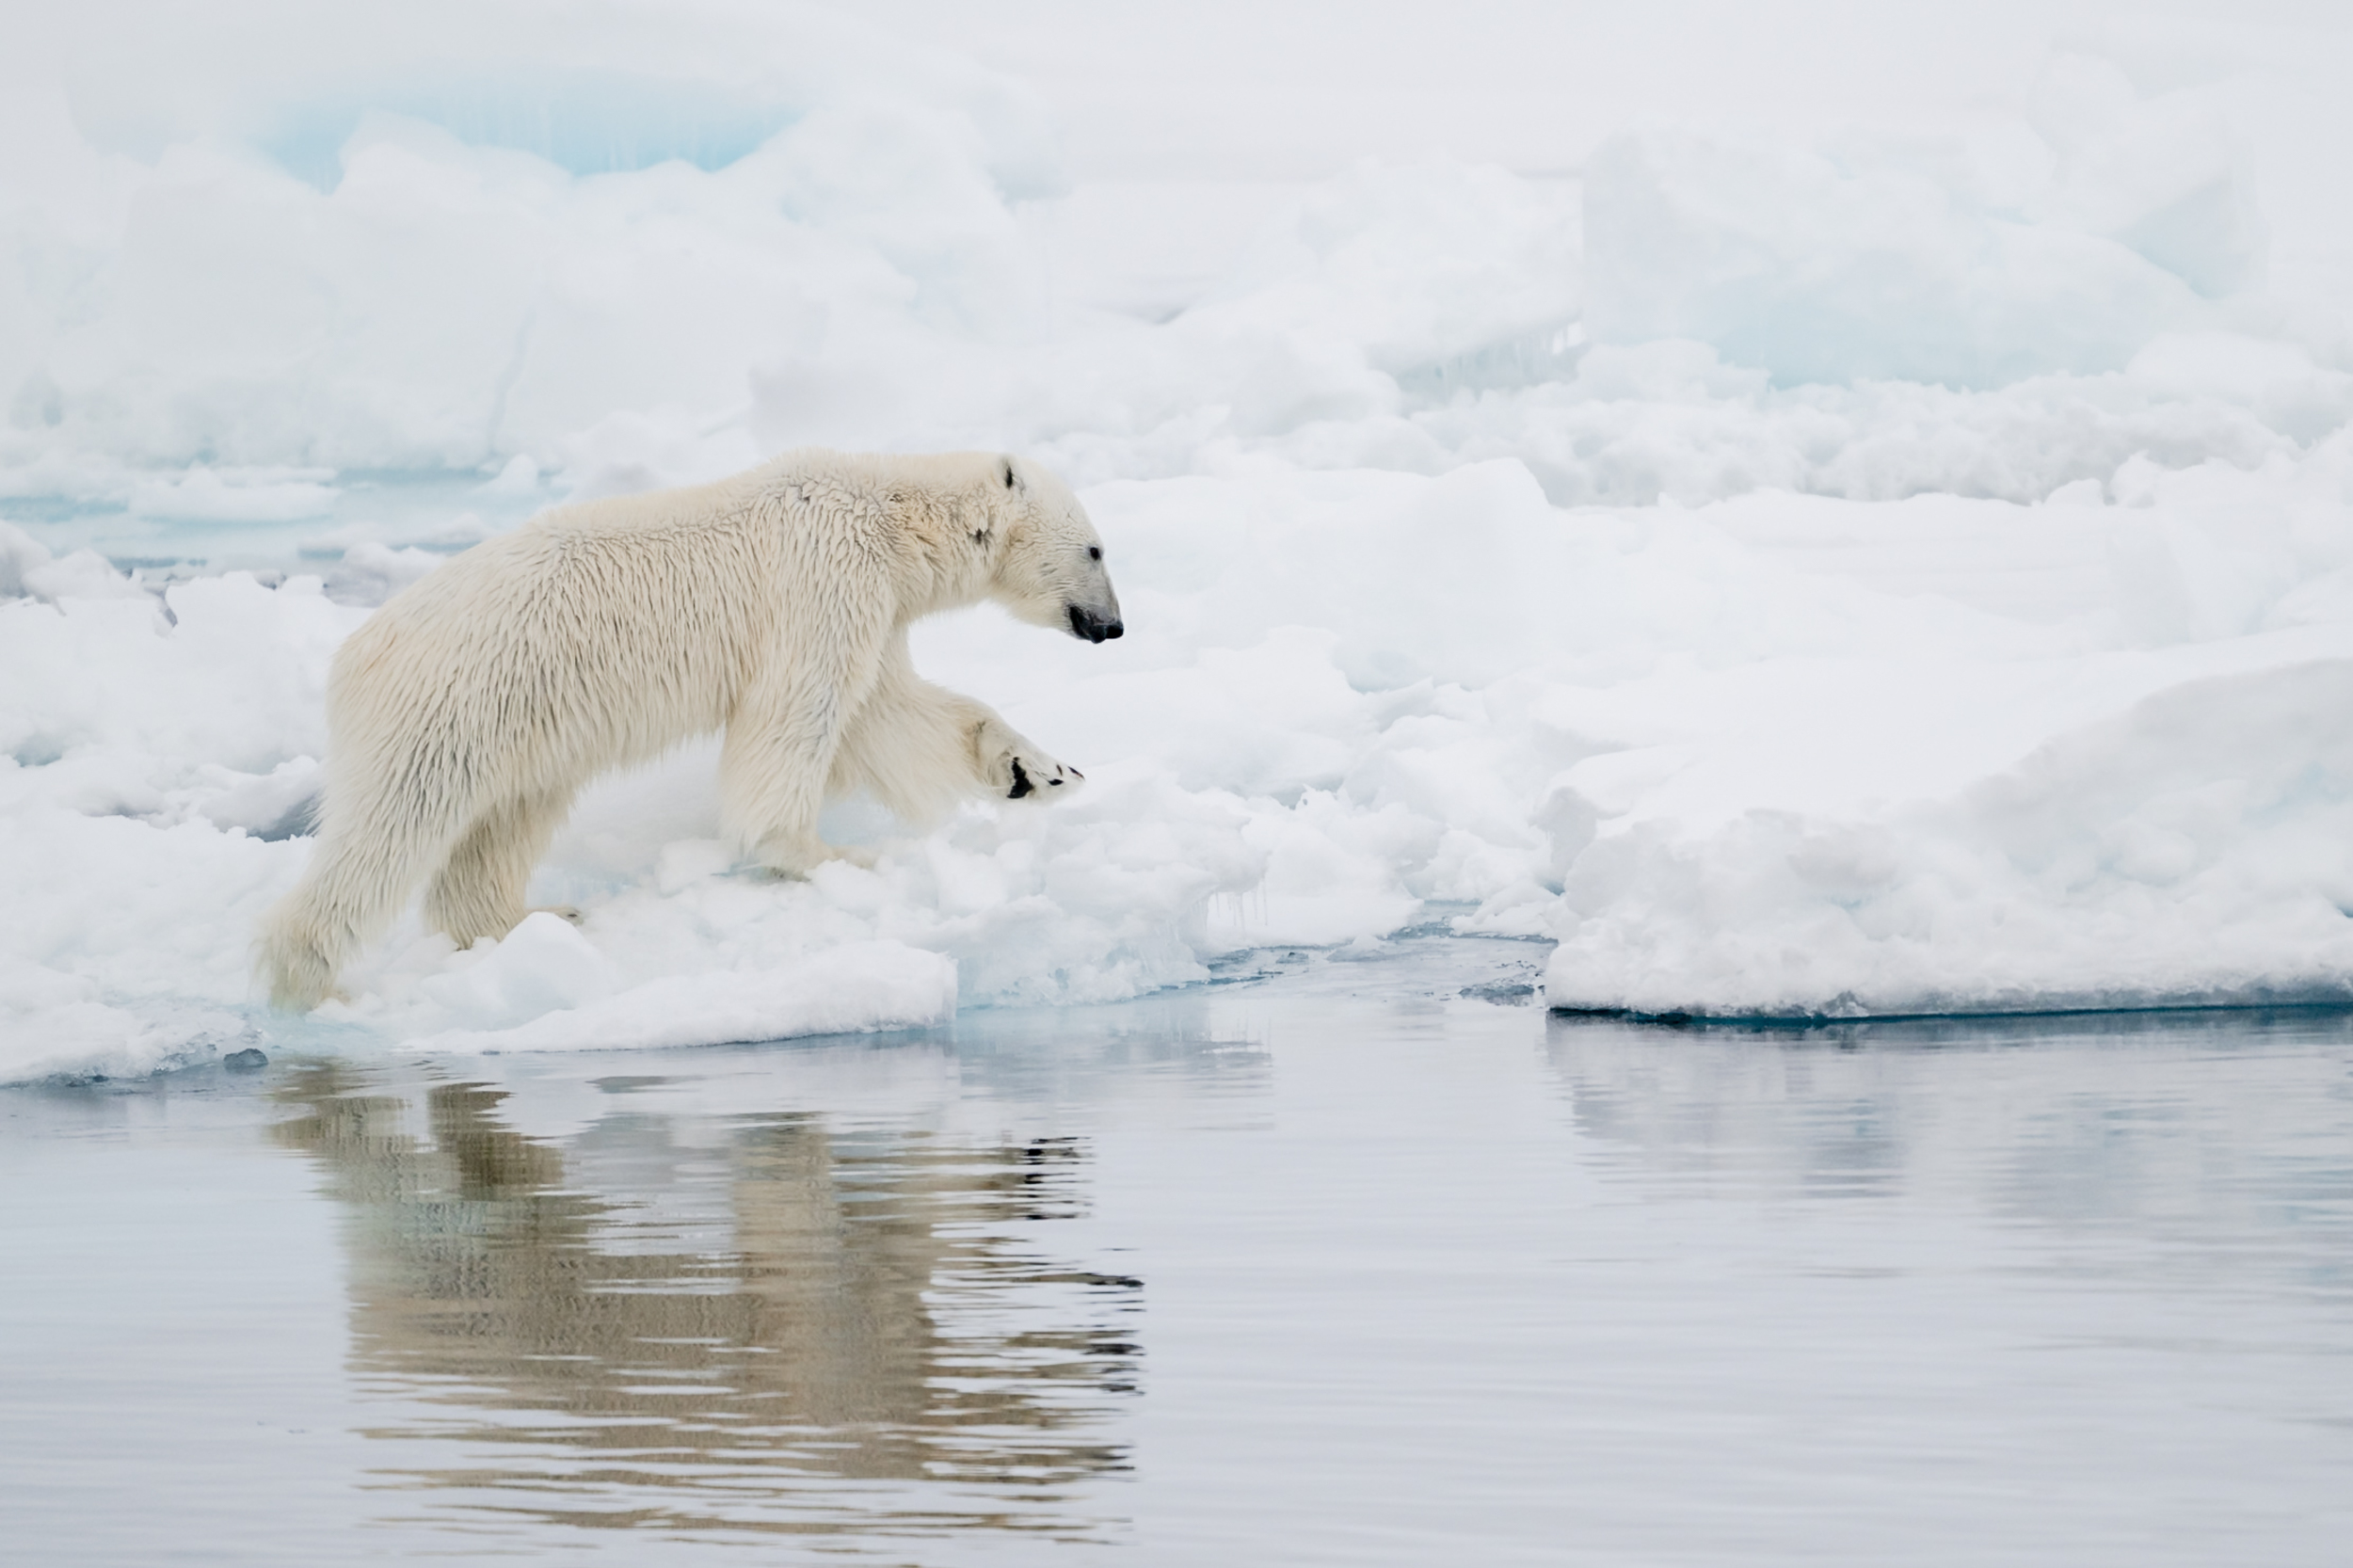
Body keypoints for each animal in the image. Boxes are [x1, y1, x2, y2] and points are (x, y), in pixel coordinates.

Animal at [257, 448, 1124, 1010]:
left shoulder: (871, 605)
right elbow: (799, 714)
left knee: (505, 819)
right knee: (392, 825)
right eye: (1096, 547)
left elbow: (893, 715)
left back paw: (533, 919)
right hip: (450, 701)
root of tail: (357, 652)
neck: (891, 512)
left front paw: (1041, 771)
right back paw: (305, 976)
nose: (1114, 626)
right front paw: (829, 855)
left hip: (520, 720)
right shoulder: (825, 579)